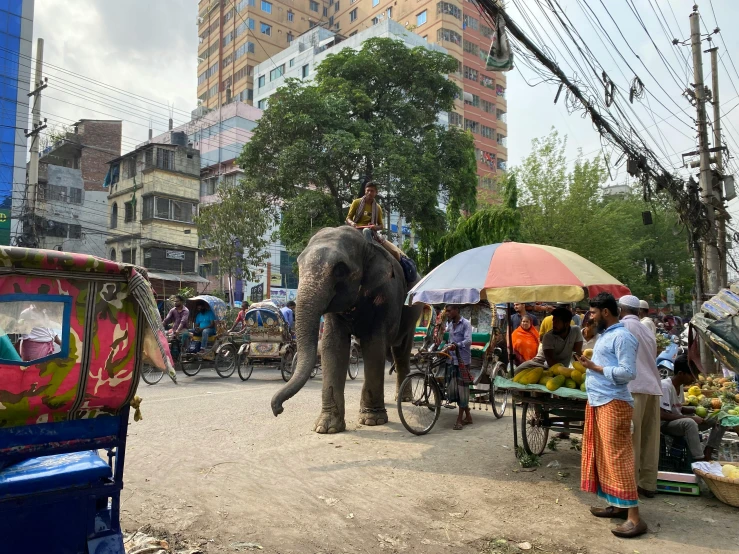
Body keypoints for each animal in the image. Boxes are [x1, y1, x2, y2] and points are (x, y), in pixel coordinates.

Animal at [270, 224, 422, 432]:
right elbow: (332, 346)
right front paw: (326, 428)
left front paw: (372, 420)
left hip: (413, 312)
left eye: (340, 270)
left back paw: (403, 398)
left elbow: (373, 345)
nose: (278, 409)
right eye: (299, 263)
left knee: (400, 351)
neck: (366, 246)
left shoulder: (385, 296)